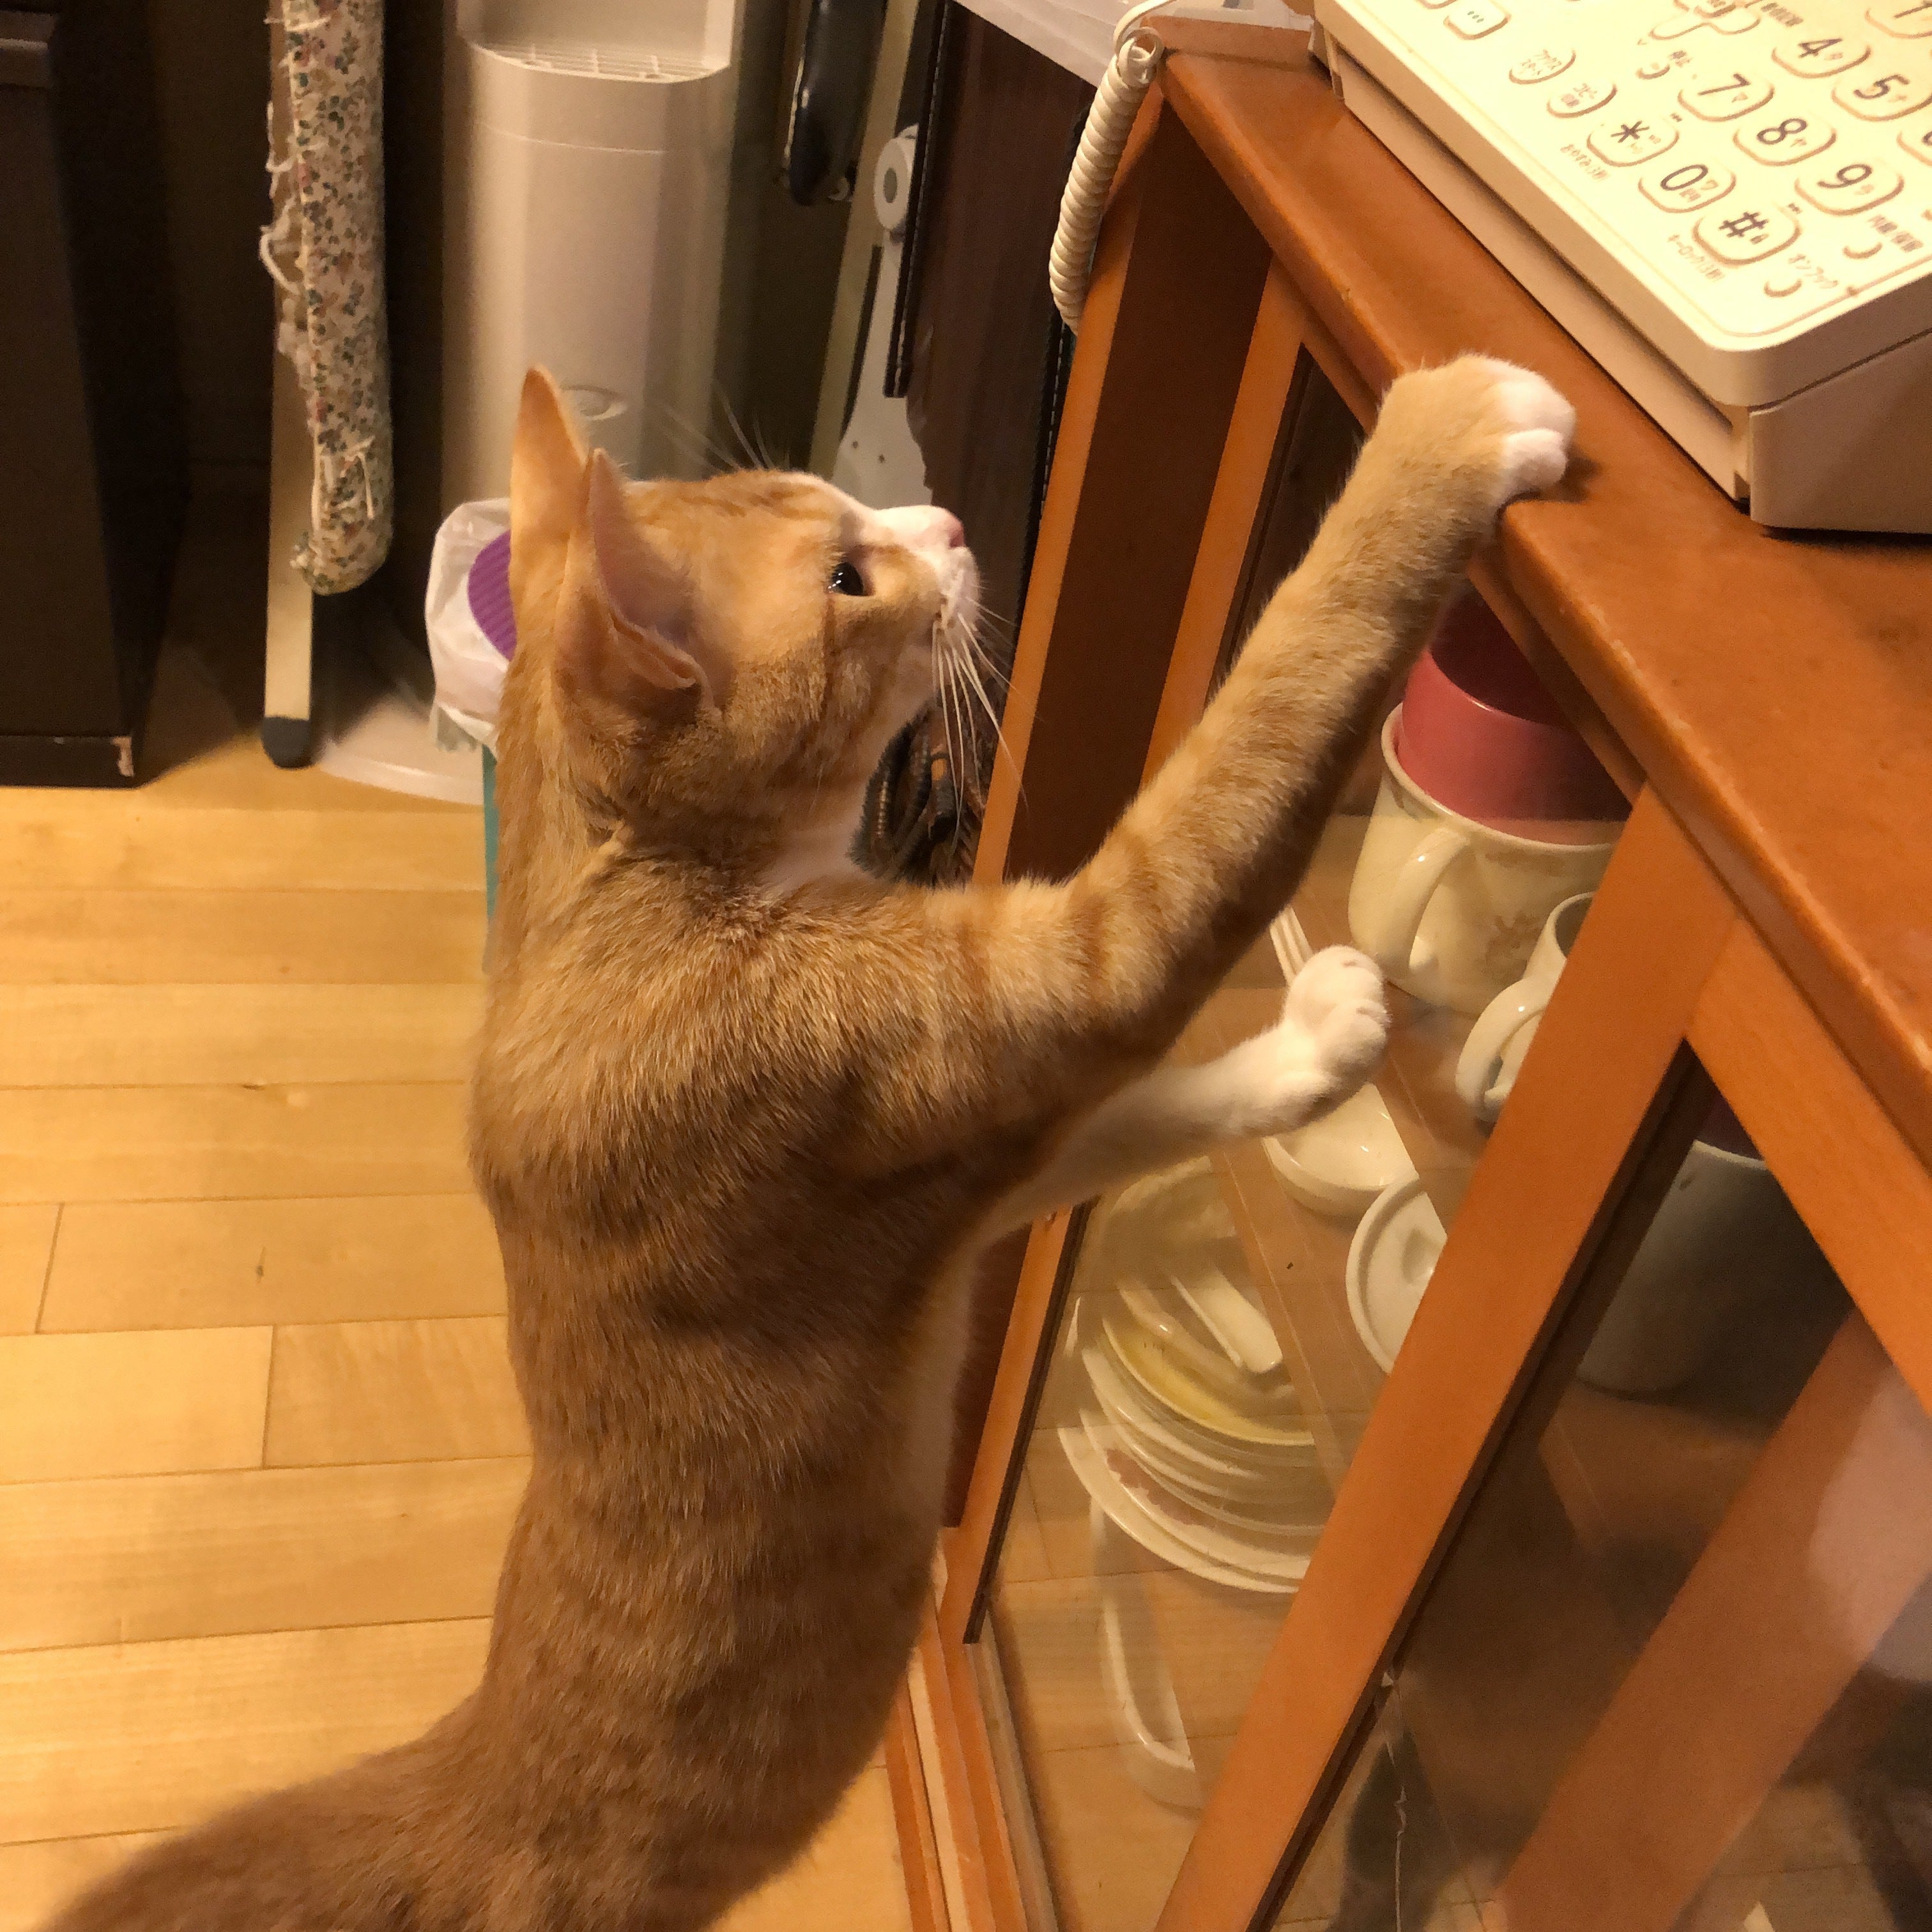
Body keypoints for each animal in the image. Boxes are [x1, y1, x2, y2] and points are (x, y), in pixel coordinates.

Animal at [43, 353, 1573, 1932]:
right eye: (847, 577)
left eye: (843, 505)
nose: (952, 520)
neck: (618, 897)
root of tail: (454, 1791)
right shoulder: (1046, 979)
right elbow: (1265, 713)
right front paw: (1450, 434)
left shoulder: (977, 1164)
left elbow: (1139, 1118)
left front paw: (1314, 1041)